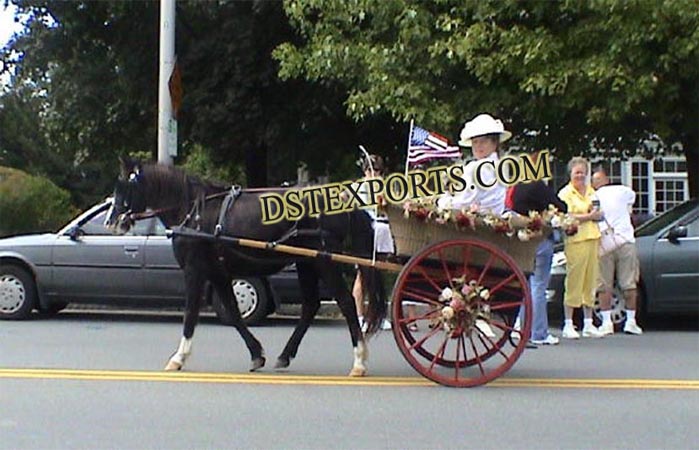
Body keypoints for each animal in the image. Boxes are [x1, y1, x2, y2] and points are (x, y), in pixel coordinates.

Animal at [105, 158, 388, 376]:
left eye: (125, 187)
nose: (111, 222)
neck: (192, 211)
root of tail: (342, 198)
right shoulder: (218, 273)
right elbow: (233, 312)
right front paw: (256, 354)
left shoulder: (195, 271)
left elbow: (190, 314)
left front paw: (178, 357)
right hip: (306, 262)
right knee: (310, 306)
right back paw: (285, 355)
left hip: (324, 261)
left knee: (346, 302)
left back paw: (359, 361)